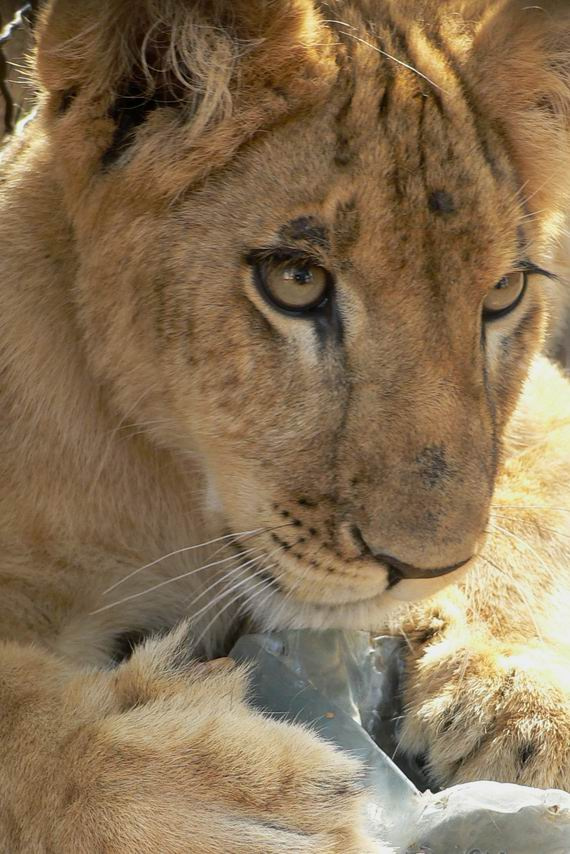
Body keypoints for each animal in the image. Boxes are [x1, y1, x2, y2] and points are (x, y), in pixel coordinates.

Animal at [1, 0, 570, 851]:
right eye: (295, 281)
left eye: (502, 293)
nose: (421, 568)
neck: (180, 492)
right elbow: (17, 709)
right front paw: (223, 798)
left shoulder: (544, 408)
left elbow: (523, 521)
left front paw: (525, 700)